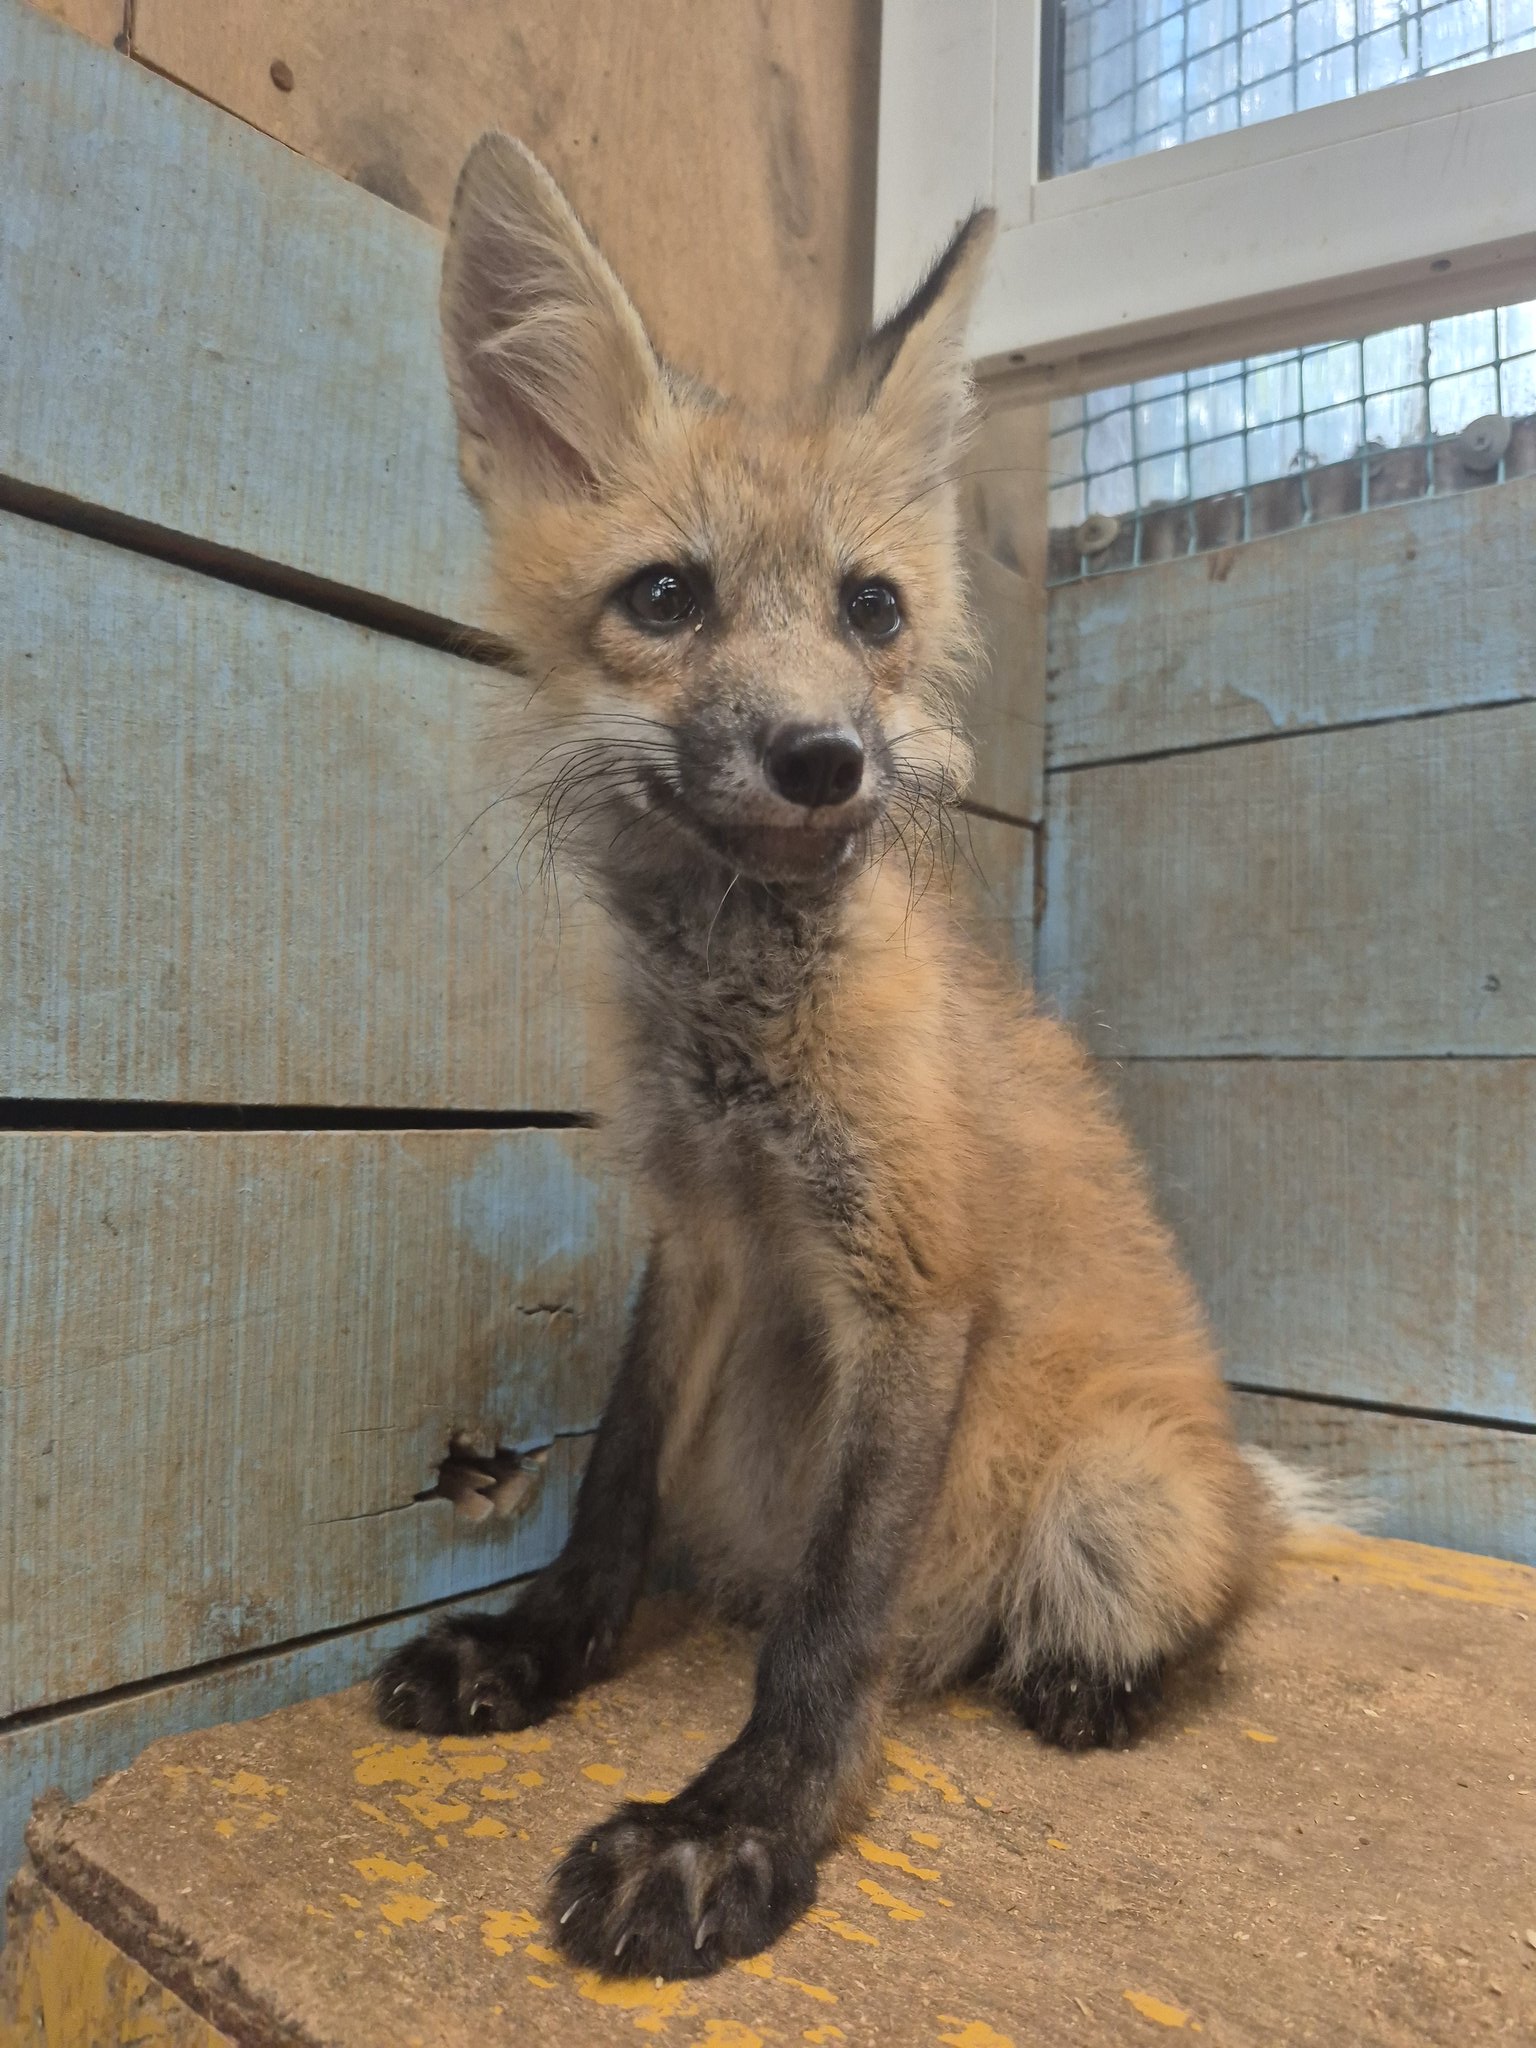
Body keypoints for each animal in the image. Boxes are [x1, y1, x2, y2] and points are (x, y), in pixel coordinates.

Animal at [375, 132, 1305, 1980]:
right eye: (665, 596)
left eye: (872, 608)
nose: (825, 759)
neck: (742, 1036)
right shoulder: (697, 1234)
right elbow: (609, 1493)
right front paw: (535, 1650)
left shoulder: (915, 1278)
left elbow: (829, 1612)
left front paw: (736, 1823)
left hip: (1117, 1506)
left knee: (1173, 1615)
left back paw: (1083, 1679)